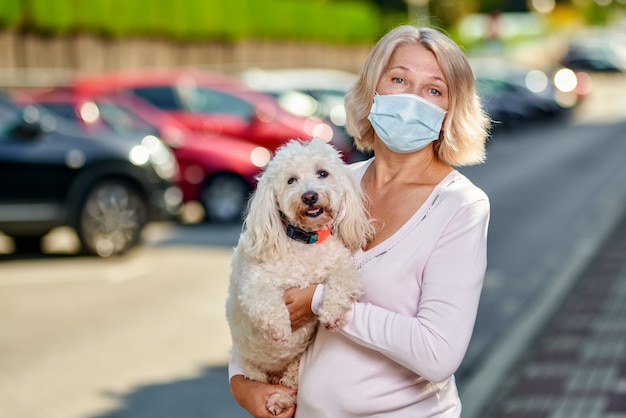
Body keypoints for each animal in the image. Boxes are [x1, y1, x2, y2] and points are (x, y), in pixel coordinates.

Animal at [227, 138, 372, 414]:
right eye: (291, 180)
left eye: (322, 173)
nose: (309, 196)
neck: (306, 241)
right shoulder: (255, 284)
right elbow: (269, 305)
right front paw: (280, 330)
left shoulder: (342, 266)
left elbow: (342, 282)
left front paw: (331, 313)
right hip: (251, 365)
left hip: (295, 367)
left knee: (290, 384)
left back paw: (281, 399)